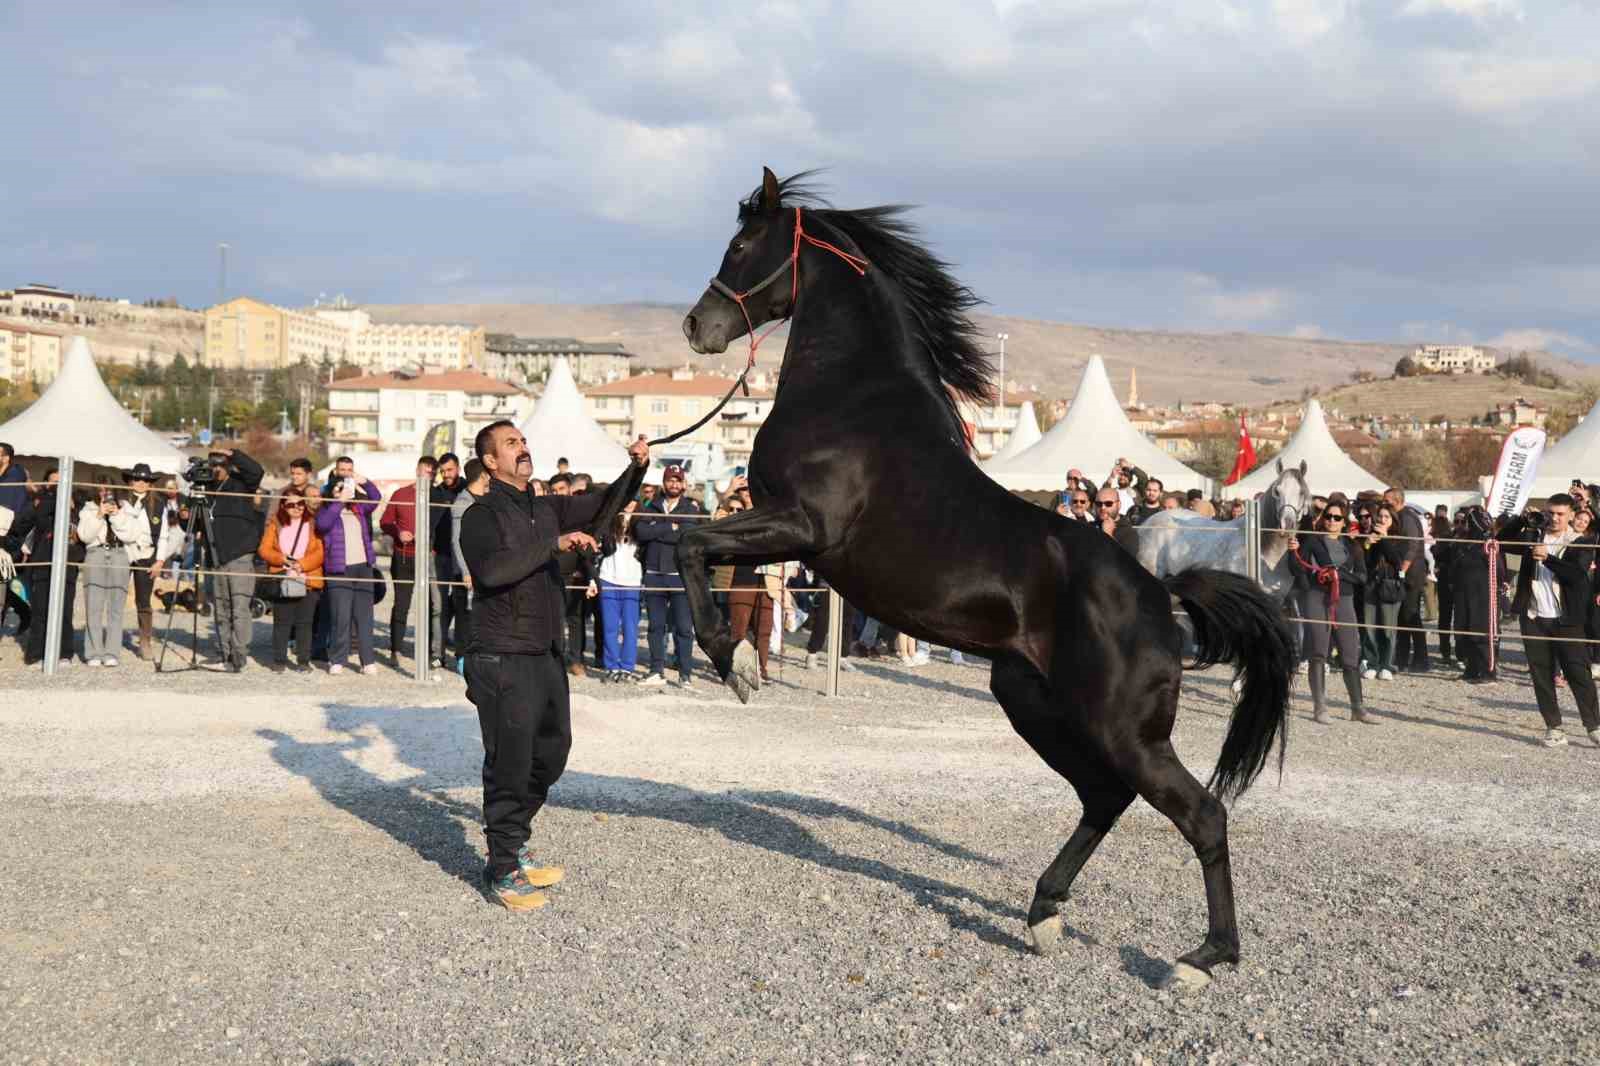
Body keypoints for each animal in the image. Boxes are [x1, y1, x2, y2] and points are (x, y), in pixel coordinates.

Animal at [672, 168, 1286, 985]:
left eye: (742, 246)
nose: (697, 325)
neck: (850, 396)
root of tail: (1161, 595)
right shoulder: (778, 527)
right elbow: (717, 559)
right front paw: (739, 657)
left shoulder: (803, 526)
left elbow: (688, 544)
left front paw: (733, 662)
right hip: (1031, 700)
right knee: (1104, 796)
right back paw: (1044, 914)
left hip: (1120, 727)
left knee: (1198, 812)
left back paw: (1203, 957)